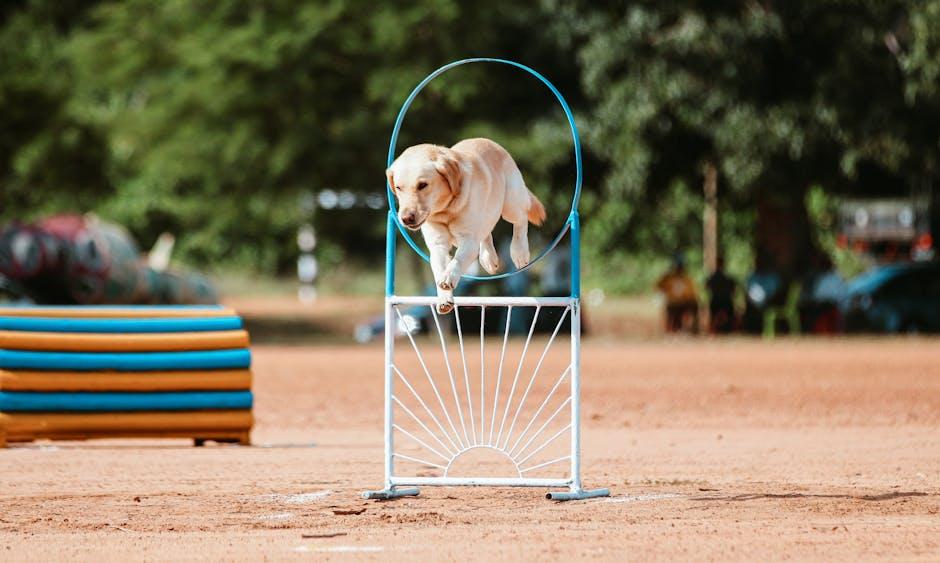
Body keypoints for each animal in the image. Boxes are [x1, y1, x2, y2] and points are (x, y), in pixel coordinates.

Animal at [384, 137, 544, 312]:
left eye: (422, 185)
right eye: (398, 187)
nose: (406, 218)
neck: (445, 210)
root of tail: (494, 144)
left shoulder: (468, 240)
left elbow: (457, 261)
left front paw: (449, 277)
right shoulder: (438, 244)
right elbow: (439, 268)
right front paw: (444, 298)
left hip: (510, 204)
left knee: (521, 220)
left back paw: (519, 252)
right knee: (486, 233)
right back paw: (489, 258)